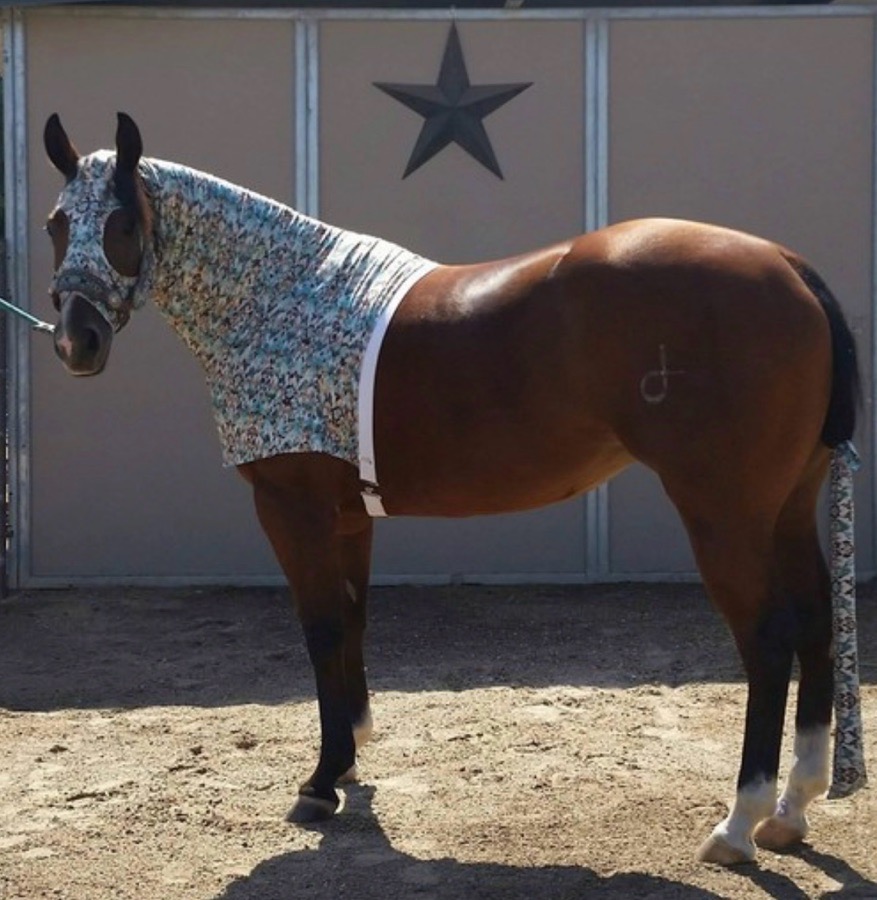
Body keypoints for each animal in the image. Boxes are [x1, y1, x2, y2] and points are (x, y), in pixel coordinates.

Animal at [42, 112, 865, 866]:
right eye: (57, 223)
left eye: (121, 222)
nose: (77, 343)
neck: (288, 300)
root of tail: (787, 264)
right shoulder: (349, 516)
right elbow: (353, 620)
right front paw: (352, 755)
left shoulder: (291, 508)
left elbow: (321, 628)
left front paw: (320, 783)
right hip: (788, 505)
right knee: (816, 622)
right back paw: (792, 810)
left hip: (723, 512)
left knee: (767, 640)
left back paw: (738, 823)